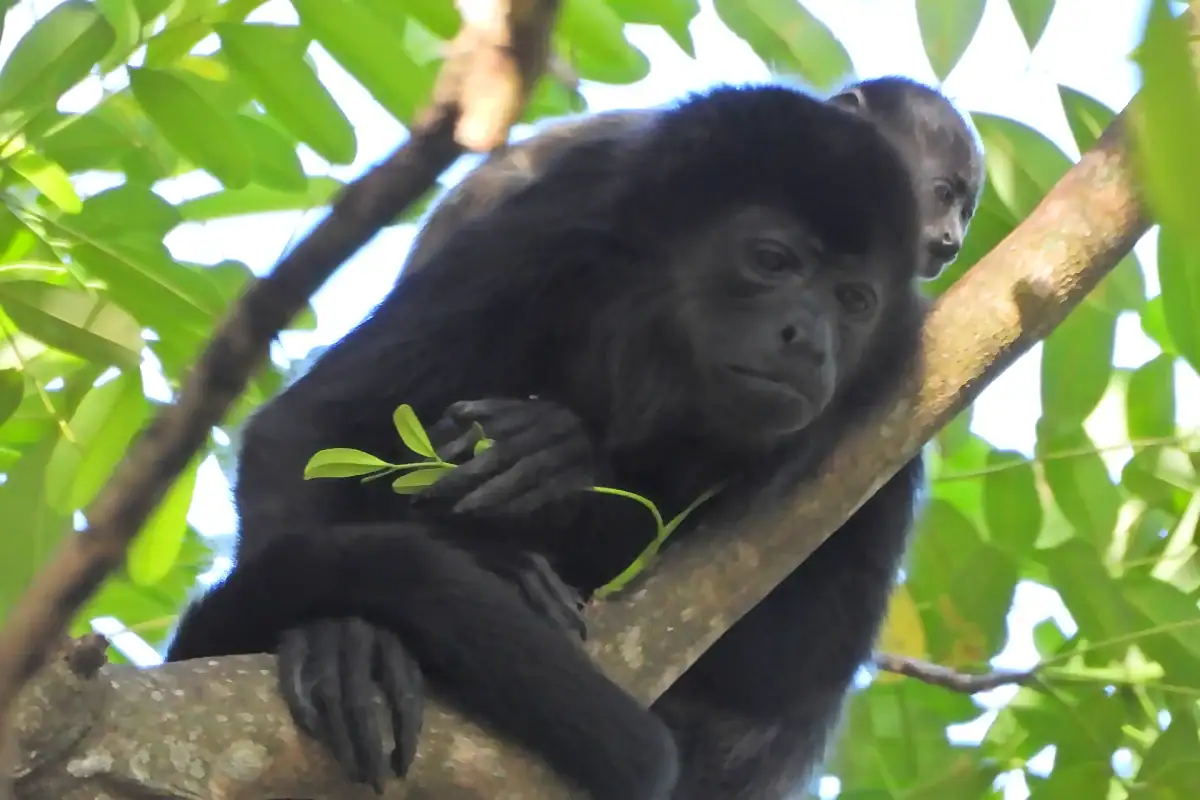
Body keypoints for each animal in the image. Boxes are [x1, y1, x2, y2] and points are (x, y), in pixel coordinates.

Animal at [166, 83, 927, 799]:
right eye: (772, 259)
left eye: (855, 302)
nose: (811, 342)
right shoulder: (561, 220)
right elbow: (309, 429)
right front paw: (340, 639)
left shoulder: (888, 411)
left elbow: (780, 671)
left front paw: (563, 459)